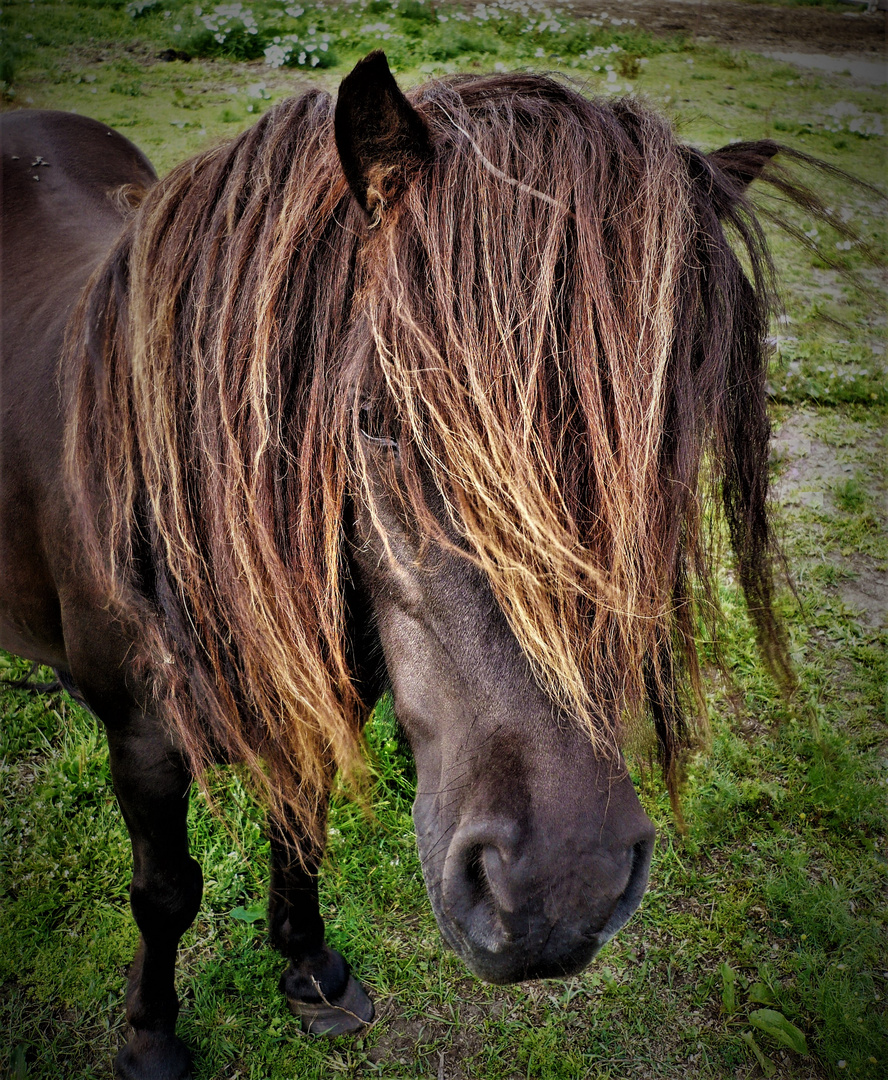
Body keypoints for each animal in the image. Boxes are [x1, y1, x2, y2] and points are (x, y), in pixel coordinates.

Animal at [0, 52, 816, 1080]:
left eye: (670, 448)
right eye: (378, 424)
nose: (561, 894)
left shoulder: (320, 698)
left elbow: (300, 833)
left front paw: (312, 972)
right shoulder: (145, 747)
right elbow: (166, 891)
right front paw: (151, 1038)